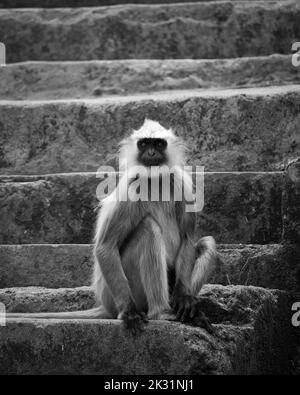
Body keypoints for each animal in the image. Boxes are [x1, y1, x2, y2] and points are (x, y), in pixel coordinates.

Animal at [7, 120, 217, 334]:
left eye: (158, 144)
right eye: (144, 144)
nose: (151, 153)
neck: (154, 179)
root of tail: (105, 304)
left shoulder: (183, 184)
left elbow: (187, 239)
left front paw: (184, 298)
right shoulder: (131, 188)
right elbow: (105, 247)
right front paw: (129, 312)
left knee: (207, 243)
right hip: (121, 292)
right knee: (148, 228)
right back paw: (160, 311)